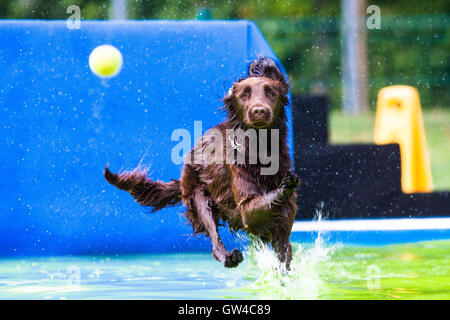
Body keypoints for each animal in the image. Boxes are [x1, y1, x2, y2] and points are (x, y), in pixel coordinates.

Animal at [104, 57, 300, 268]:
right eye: (244, 95)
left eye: (271, 93)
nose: (259, 111)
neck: (260, 149)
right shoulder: (246, 207)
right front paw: (285, 186)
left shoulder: (283, 222)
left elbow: (284, 254)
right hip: (198, 194)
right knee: (213, 235)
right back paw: (228, 256)